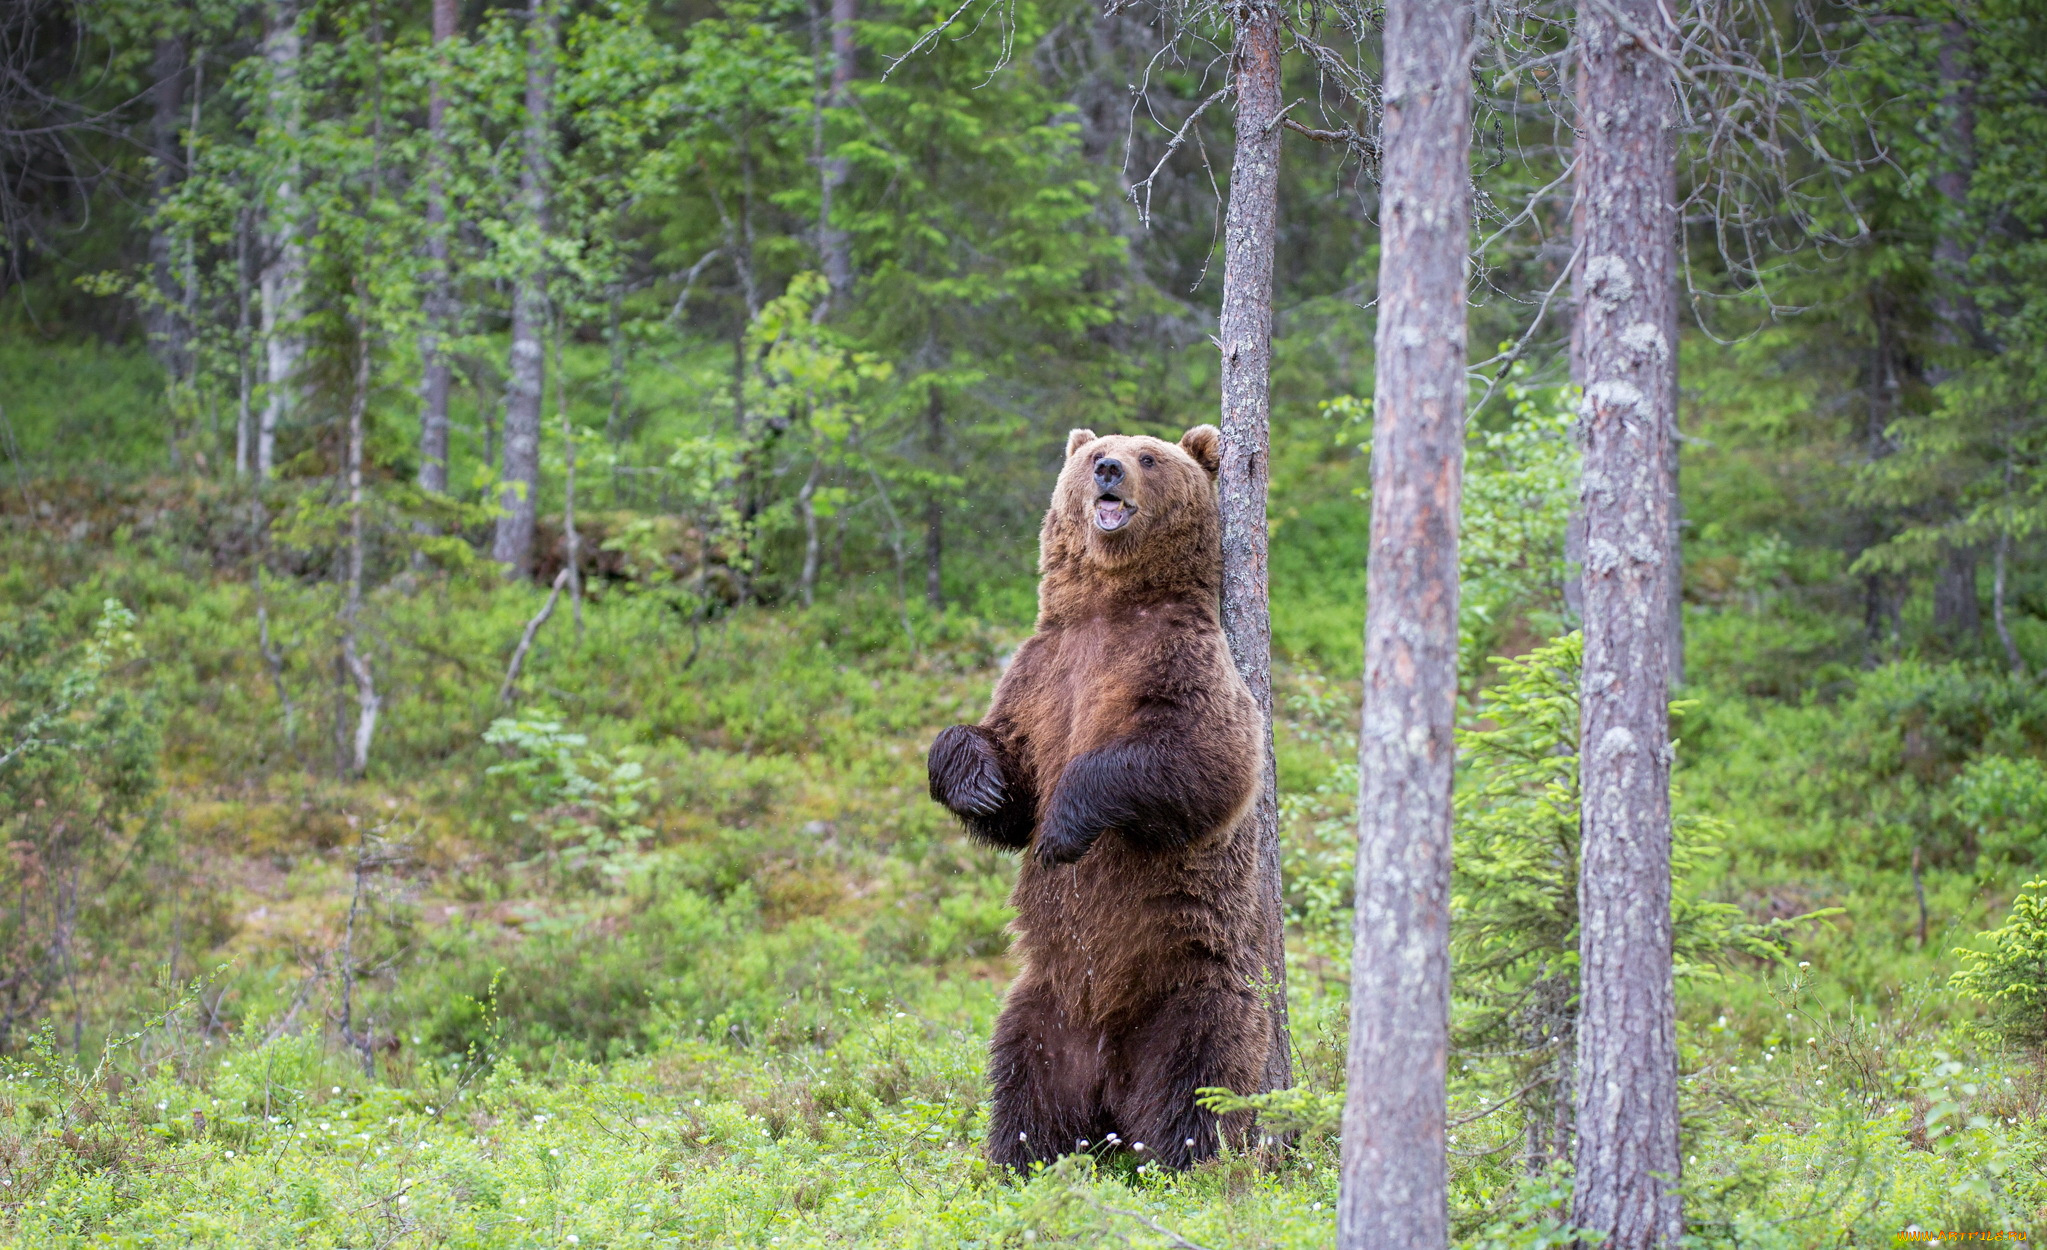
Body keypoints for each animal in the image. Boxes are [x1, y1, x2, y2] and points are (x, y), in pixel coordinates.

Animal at [925, 423, 1269, 1170]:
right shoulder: (1039, 673)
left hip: (1187, 988)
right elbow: (1004, 765)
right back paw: (1018, 1160)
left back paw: (1184, 1161)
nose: (1109, 468)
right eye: (1092, 454)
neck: (1110, 606)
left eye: (1149, 456)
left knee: (1197, 1076)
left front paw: (1062, 827)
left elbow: (1201, 759)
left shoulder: (1181, 662)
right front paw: (978, 781)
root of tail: (1109, 1080)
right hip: (1043, 1005)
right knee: (1024, 1082)